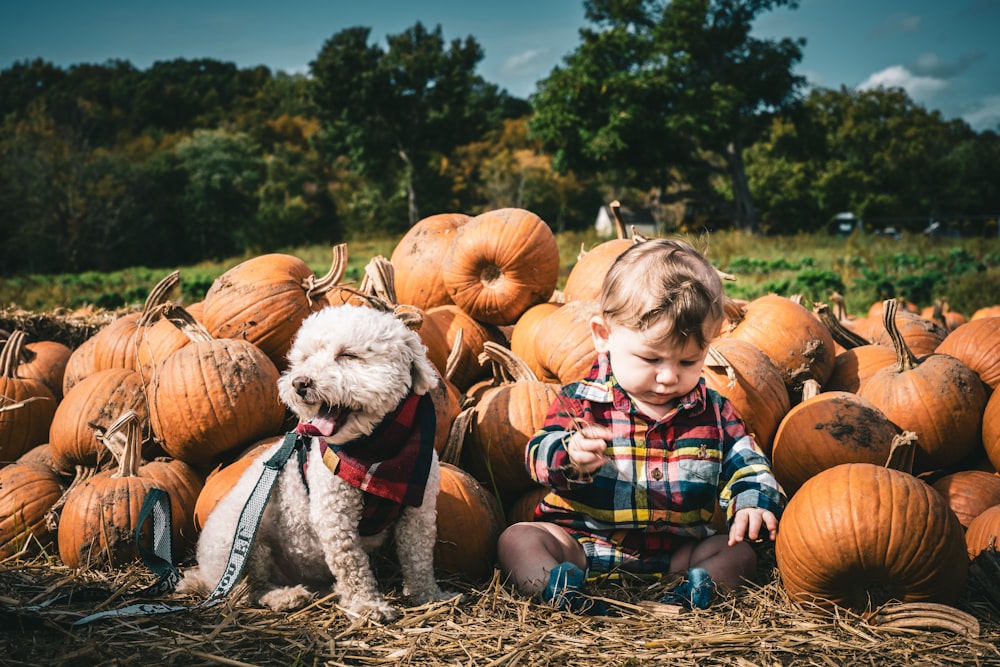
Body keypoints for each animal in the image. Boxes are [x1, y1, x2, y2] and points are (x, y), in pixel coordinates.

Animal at [178, 306, 452, 624]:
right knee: (250, 589)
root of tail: (205, 576)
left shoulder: (419, 511)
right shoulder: (335, 515)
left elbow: (419, 558)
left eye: (347, 355)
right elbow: (352, 565)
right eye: (306, 358)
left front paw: (430, 595)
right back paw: (285, 596)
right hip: (240, 538)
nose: (300, 382)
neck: (379, 454)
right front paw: (367, 606)